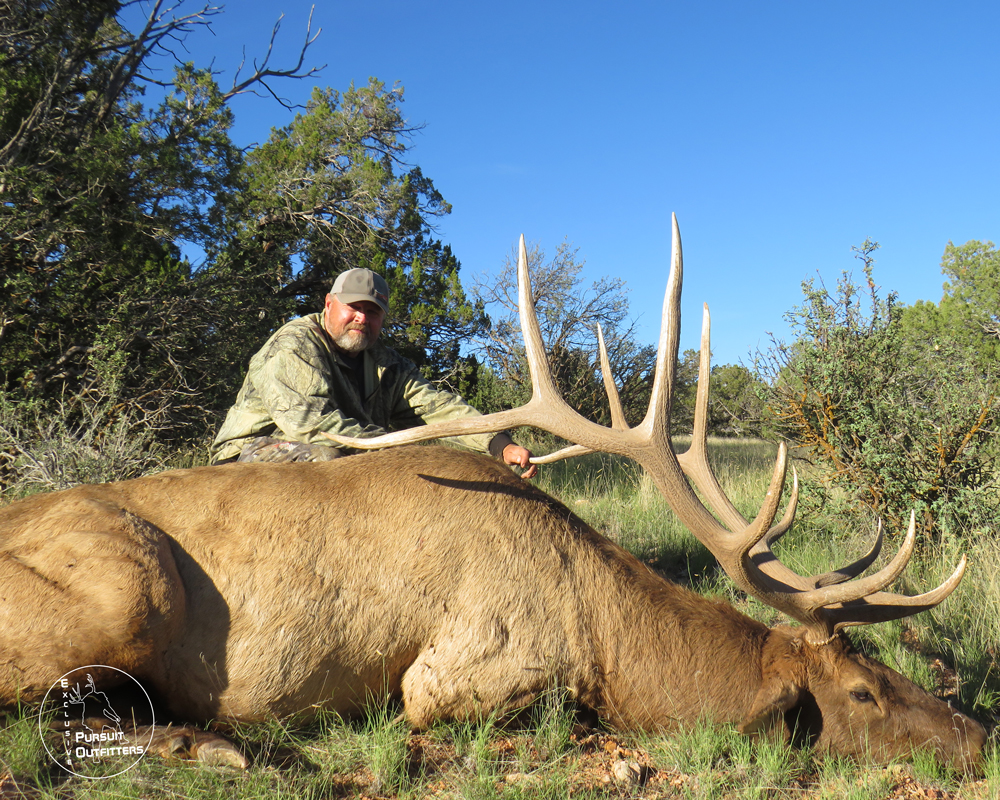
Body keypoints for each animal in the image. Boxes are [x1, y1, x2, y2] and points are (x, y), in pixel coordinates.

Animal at [0, 217, 984, 768]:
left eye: (886, 668)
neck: (607, 633)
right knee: (50, 710)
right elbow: (562, 717)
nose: (977, 737)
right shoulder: (450, 675)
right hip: (128, 590)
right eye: (861, 694)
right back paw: (213, 745)